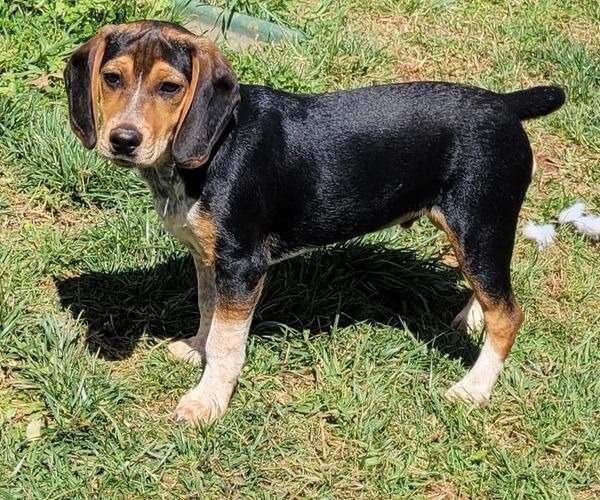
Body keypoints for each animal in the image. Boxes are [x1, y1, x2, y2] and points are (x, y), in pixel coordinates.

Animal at [65, 21, 568, 424]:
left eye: (170, 88)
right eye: (111, 78)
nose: (123, 140)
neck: (214, 146)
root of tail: (505, 104)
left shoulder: (243, 265)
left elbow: (228, 343)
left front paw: (208, 401)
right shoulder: (209, 258)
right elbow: (209, 311)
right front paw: (195, 349)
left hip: (480, 224)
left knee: (509, 313)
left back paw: (474, 388)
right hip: (477, 231)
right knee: (490, 290)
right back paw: (470, 320)